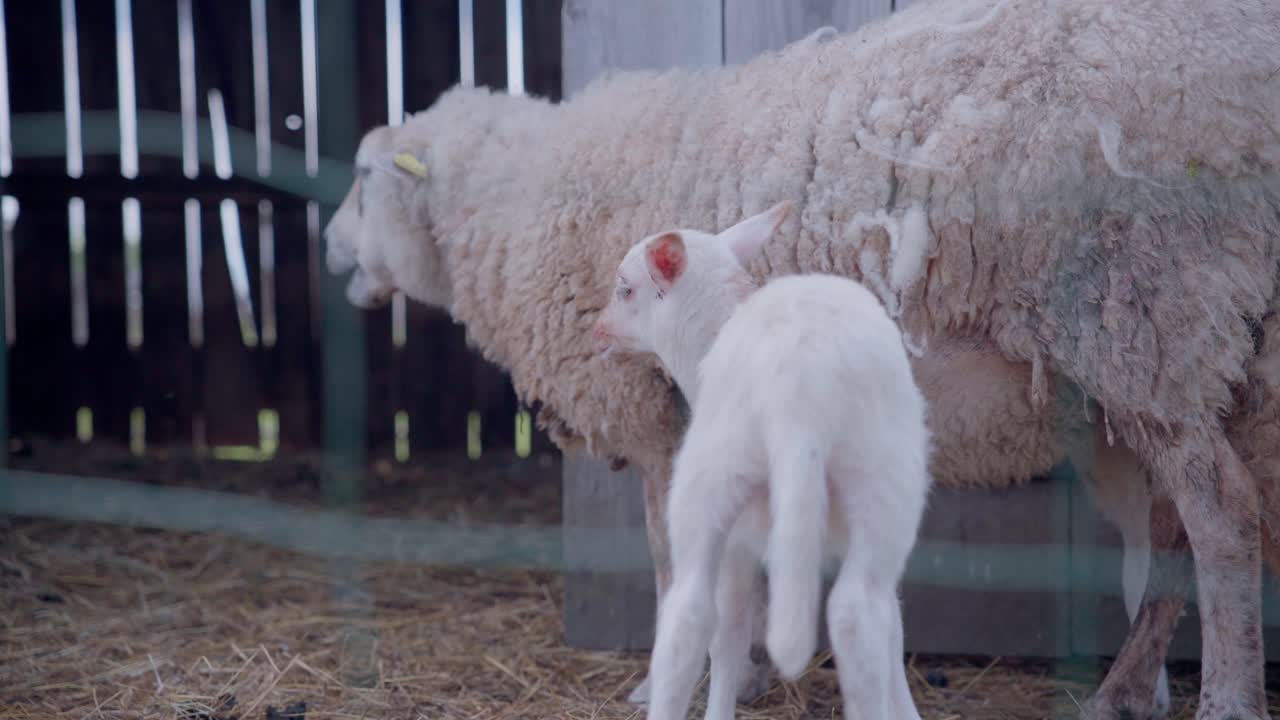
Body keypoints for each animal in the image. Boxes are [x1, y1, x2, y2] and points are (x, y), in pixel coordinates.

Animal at [590, 201, 931, 720]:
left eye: (625, 288)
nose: (598, 329)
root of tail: (801, 387)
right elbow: (893, 629)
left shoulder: (738, 541)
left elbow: (729, 633)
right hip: (881, 479)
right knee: (861, 616)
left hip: (709, 476)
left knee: (688, 618)